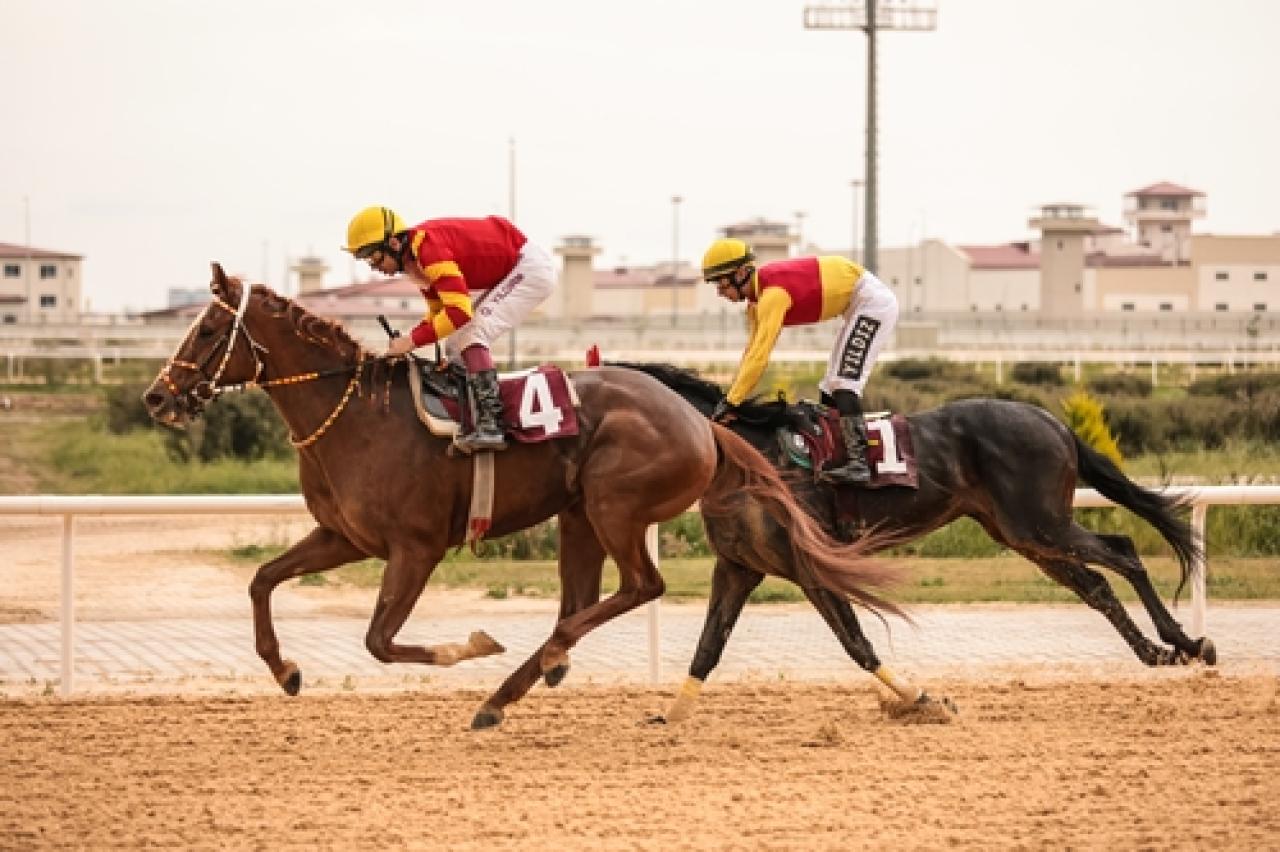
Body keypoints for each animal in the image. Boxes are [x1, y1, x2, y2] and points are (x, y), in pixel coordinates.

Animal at [142, 263, 901, 721]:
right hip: (578, 515)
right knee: (583, 600)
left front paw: (471, 647)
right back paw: (535, 675)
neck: (358, 415)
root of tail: (704, 423)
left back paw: (513, 683)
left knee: (638, 587)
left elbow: (380, 640)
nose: (157, 397)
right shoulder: (343, 536)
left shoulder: (415, 547)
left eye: (208, 328)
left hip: (613, 505)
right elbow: (263, 580)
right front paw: (286, 670)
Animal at [619, 360, 1218, 721]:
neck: (744, 457)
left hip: (1039, 523)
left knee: (1123, 551)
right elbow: (708, 646)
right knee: (1095, 583)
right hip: (1023, 534)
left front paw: (923, 700)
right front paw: (669, 716)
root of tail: (1054, 422)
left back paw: (1187, 642)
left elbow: (857, 643)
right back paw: (1157, 652)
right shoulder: (738, 567)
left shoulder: (813, 565)